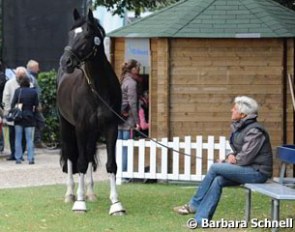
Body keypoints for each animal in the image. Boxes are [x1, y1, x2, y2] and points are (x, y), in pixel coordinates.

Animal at [56, 8, 125, 216]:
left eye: (87, 35)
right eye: (70, 34)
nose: (66, 62)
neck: (97, 89)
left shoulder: (111, 127)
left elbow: (111, 165)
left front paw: (116, 204)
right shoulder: (80, 127)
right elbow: (79, 162)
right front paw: (79, 203)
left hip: (93, 132)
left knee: (87, 154)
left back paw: (91, 193)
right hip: (66, 126)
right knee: (72, 156)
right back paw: (71, 194)